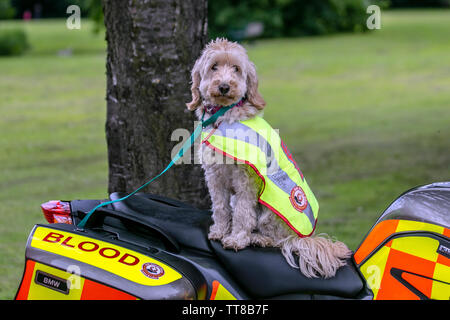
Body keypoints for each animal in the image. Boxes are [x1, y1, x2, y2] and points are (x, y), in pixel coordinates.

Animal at [185, 37, 350, 278]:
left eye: (236, 69)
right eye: (214, 66)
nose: (224, 86)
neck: (225, 115)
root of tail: (303, 237)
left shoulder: (246, 181)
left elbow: (243, 213)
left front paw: (236, 239)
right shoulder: (215, 177)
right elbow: (221, 207)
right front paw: (220, 231)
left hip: (271, 211)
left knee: (278, 240)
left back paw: (258, 238)